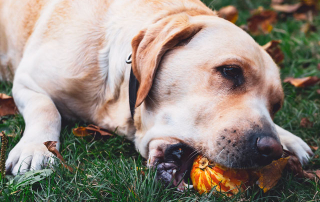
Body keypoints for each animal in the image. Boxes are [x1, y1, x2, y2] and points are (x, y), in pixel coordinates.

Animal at [0, 0, 312, 189]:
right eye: (231, 71)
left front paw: (289, 137)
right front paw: (36, 148)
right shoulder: (27, 81)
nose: (270, 149)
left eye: (276, 105)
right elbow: (45, 108)